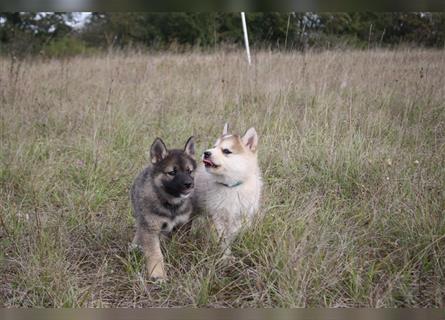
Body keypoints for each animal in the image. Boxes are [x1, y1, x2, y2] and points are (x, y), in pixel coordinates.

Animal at [130, 136, 196, 278]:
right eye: (172, 172)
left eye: (189, 171)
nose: (189, 184)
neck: (170, 204)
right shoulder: (150, 228)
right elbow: (155, 254)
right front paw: (158, 274)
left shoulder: (182, 225)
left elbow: (180, 245)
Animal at [193, 124, 262, 256]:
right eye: (214, 146)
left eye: (226, 151)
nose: (206, 153)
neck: (231, 187)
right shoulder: (217, 217)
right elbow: (222, 239)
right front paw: (225, 255)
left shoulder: (241, 217)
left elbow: (232, 235)